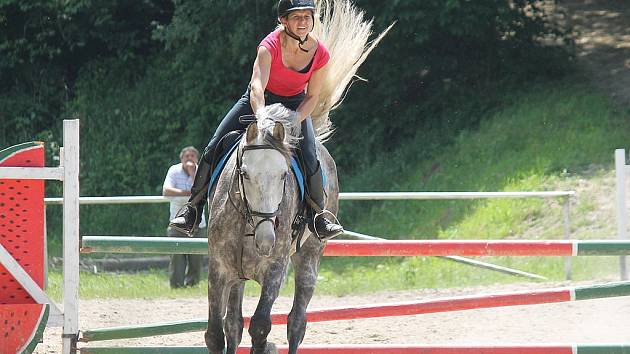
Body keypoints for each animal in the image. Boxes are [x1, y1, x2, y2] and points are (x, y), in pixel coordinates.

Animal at [205, 103, 338, 354]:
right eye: (244, 173)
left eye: (284, 174)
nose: (266, 241)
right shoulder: (219, 270)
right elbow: (215, 335)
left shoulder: (275, 270)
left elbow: (259, 327)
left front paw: (266, 346)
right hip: (238, 276)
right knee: (233, 325)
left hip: (310, 258)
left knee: (296, 322)